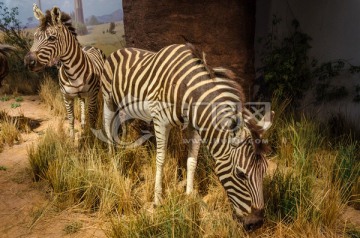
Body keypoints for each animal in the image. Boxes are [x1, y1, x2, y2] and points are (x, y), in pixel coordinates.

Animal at [24, 4, 104, 138]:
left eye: (52, 38)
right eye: (35, 36)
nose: (28, 62)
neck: (72, 74)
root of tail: (89, 46)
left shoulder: (92, 94)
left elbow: (92, 116)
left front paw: (92, 139)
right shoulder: (66, 97)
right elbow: (71, 118)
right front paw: (72, 139)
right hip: (81, 95)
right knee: (82, 104)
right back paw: (83, 125)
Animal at [100, 43, 274, 230]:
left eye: (264, 170)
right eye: (241, 174)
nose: (257, 223)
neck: (184, 89)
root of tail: (120, 49)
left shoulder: (194, 126)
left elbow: (192, 161)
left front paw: (190, 195)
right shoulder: (160, 121)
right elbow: (161, 159)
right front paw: (158, 199)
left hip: (124, 106)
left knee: (122, 124)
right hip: (108, 100)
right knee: (108, 130)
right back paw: (114, 163)